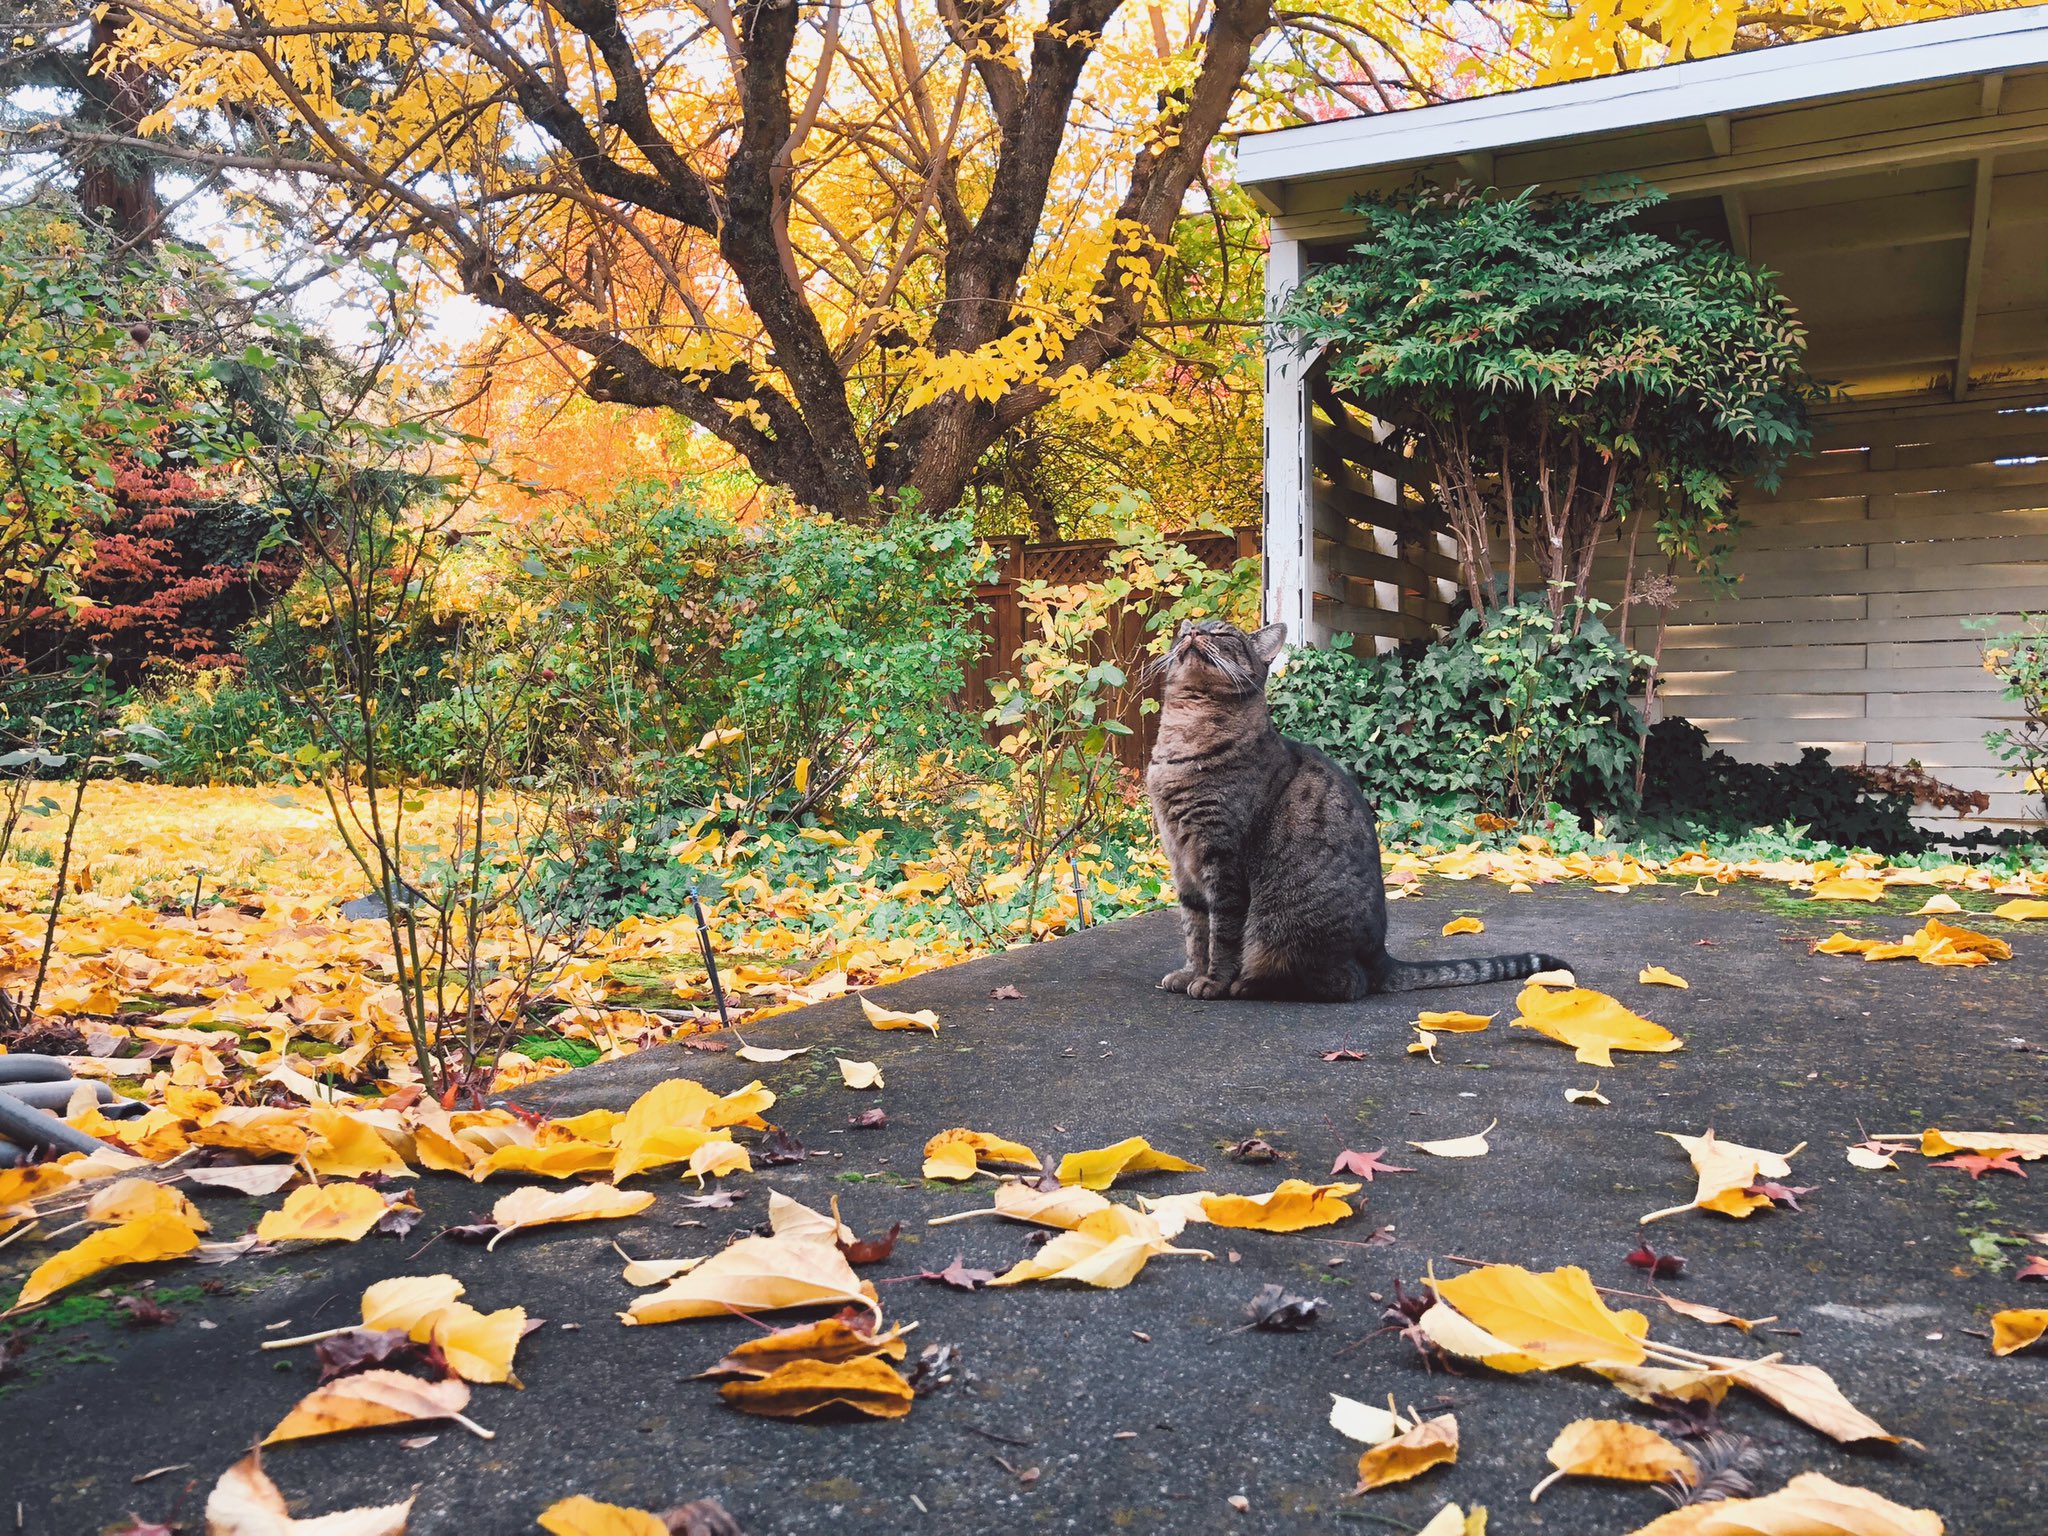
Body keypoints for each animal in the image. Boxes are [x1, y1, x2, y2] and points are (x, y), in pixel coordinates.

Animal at [1138, 618, 1564, 1003]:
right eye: (1185, 629)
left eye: (1222, 633)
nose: (1193, 632)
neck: (1182, 739)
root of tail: (1380, 957)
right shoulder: (1183, 863)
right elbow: (1195, 930)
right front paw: (1190, 973)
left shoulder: (1223, 860)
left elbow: (1222, 935)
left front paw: (1213, 982)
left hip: (1281, 928)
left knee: (1343, 983)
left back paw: (1251, 985)